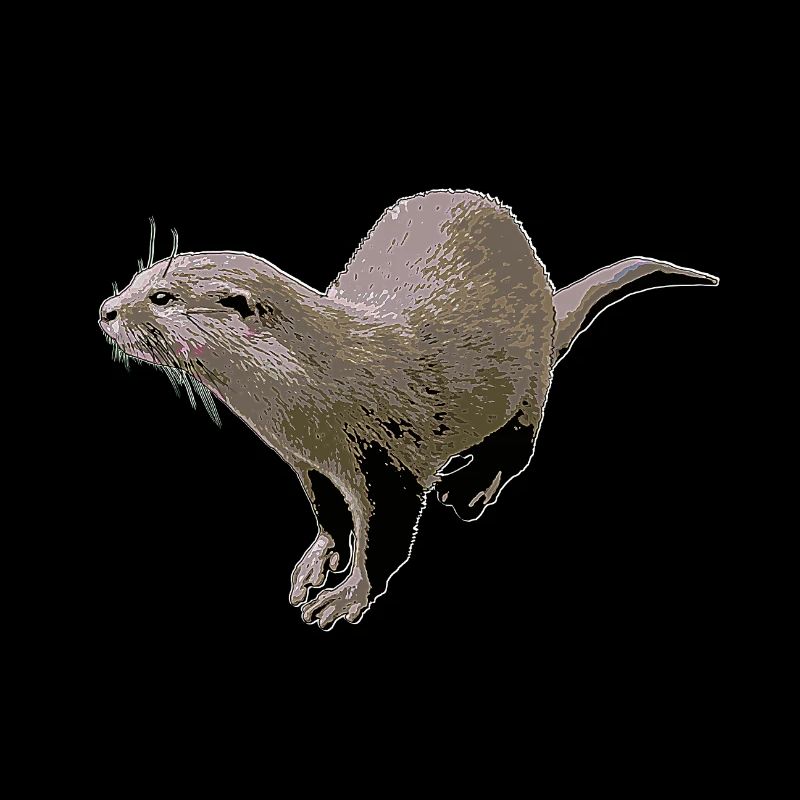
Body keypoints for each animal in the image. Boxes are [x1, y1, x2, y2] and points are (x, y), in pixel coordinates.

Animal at [99, 189, 718, 630]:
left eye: (161, 297)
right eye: (139, 277)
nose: (107, 309)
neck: (318, 395)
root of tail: (547, 301)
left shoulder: (386, 456)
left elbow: (387, 537)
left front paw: (346, 598)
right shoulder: (308, 463)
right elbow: (329, 514)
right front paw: (319, 559)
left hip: (528, 385)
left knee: (520, 446)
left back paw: (471, 486)